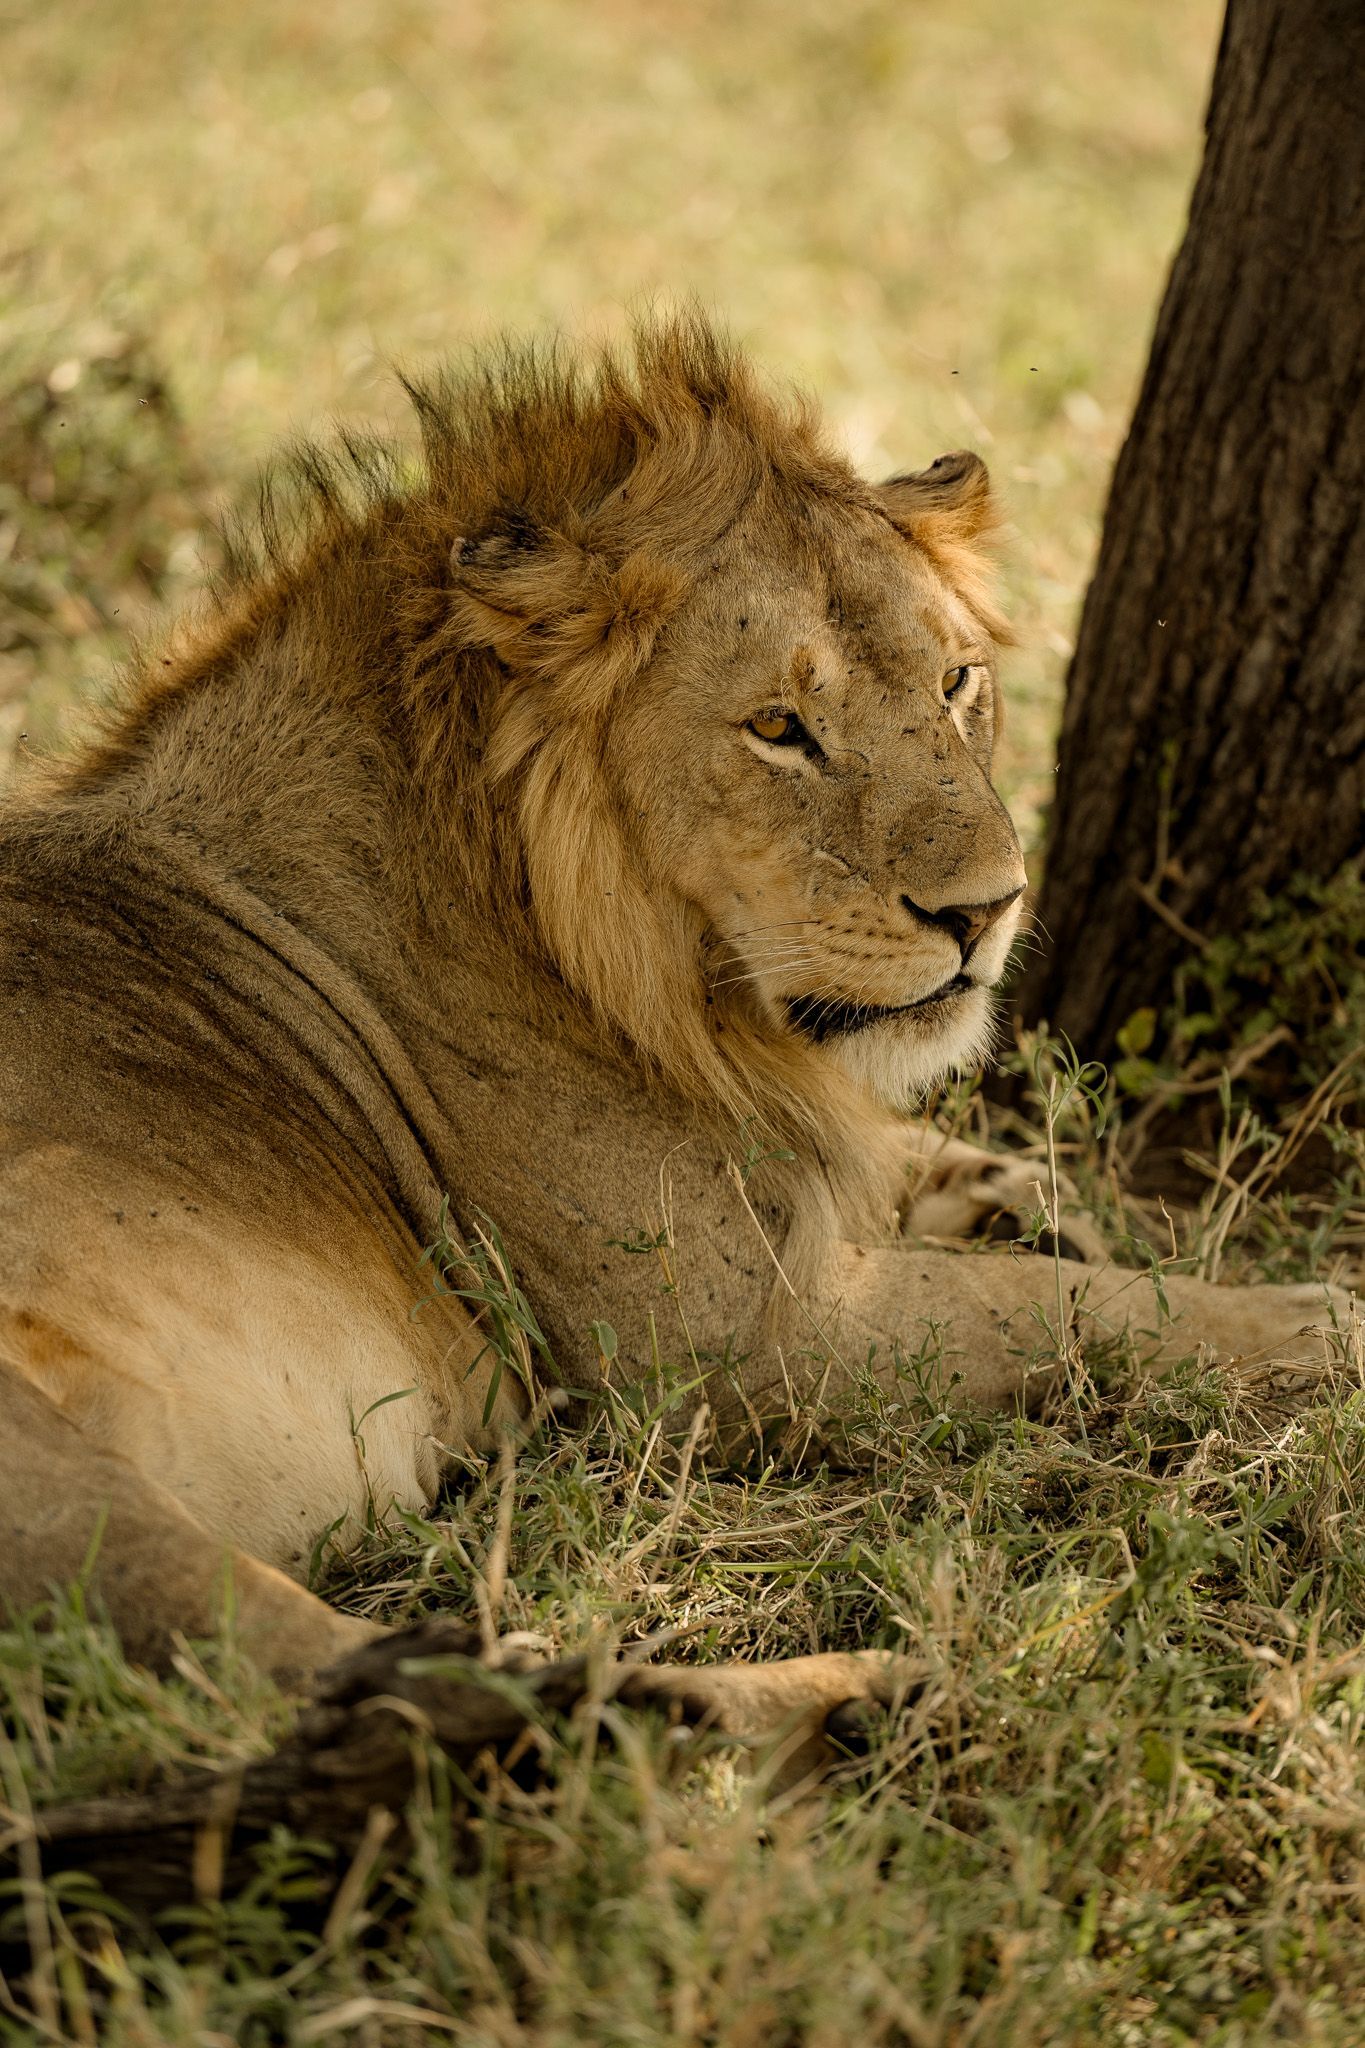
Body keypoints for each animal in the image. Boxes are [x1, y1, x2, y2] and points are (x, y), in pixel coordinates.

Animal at [0, 314, 1343, 1766]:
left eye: (956, 682)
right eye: (778, 729)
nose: (988, 908)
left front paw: (1027, 1199)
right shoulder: (729, 1349)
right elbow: (1069, 1312)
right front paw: (1319, 1319)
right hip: (72, 1491)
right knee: (445, 1704)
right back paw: (865, 1704)